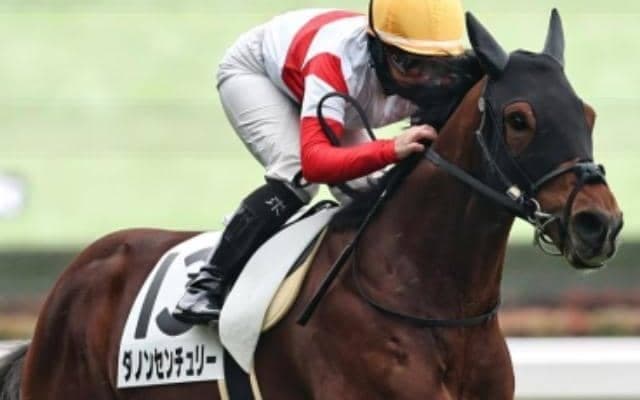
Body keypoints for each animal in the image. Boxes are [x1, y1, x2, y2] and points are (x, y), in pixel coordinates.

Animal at [0, 10, 623, 400]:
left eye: (588, 113)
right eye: (519, 119)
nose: (600, 223)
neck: (434, 302)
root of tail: (78, 272)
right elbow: (310, 160)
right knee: (289, 175)